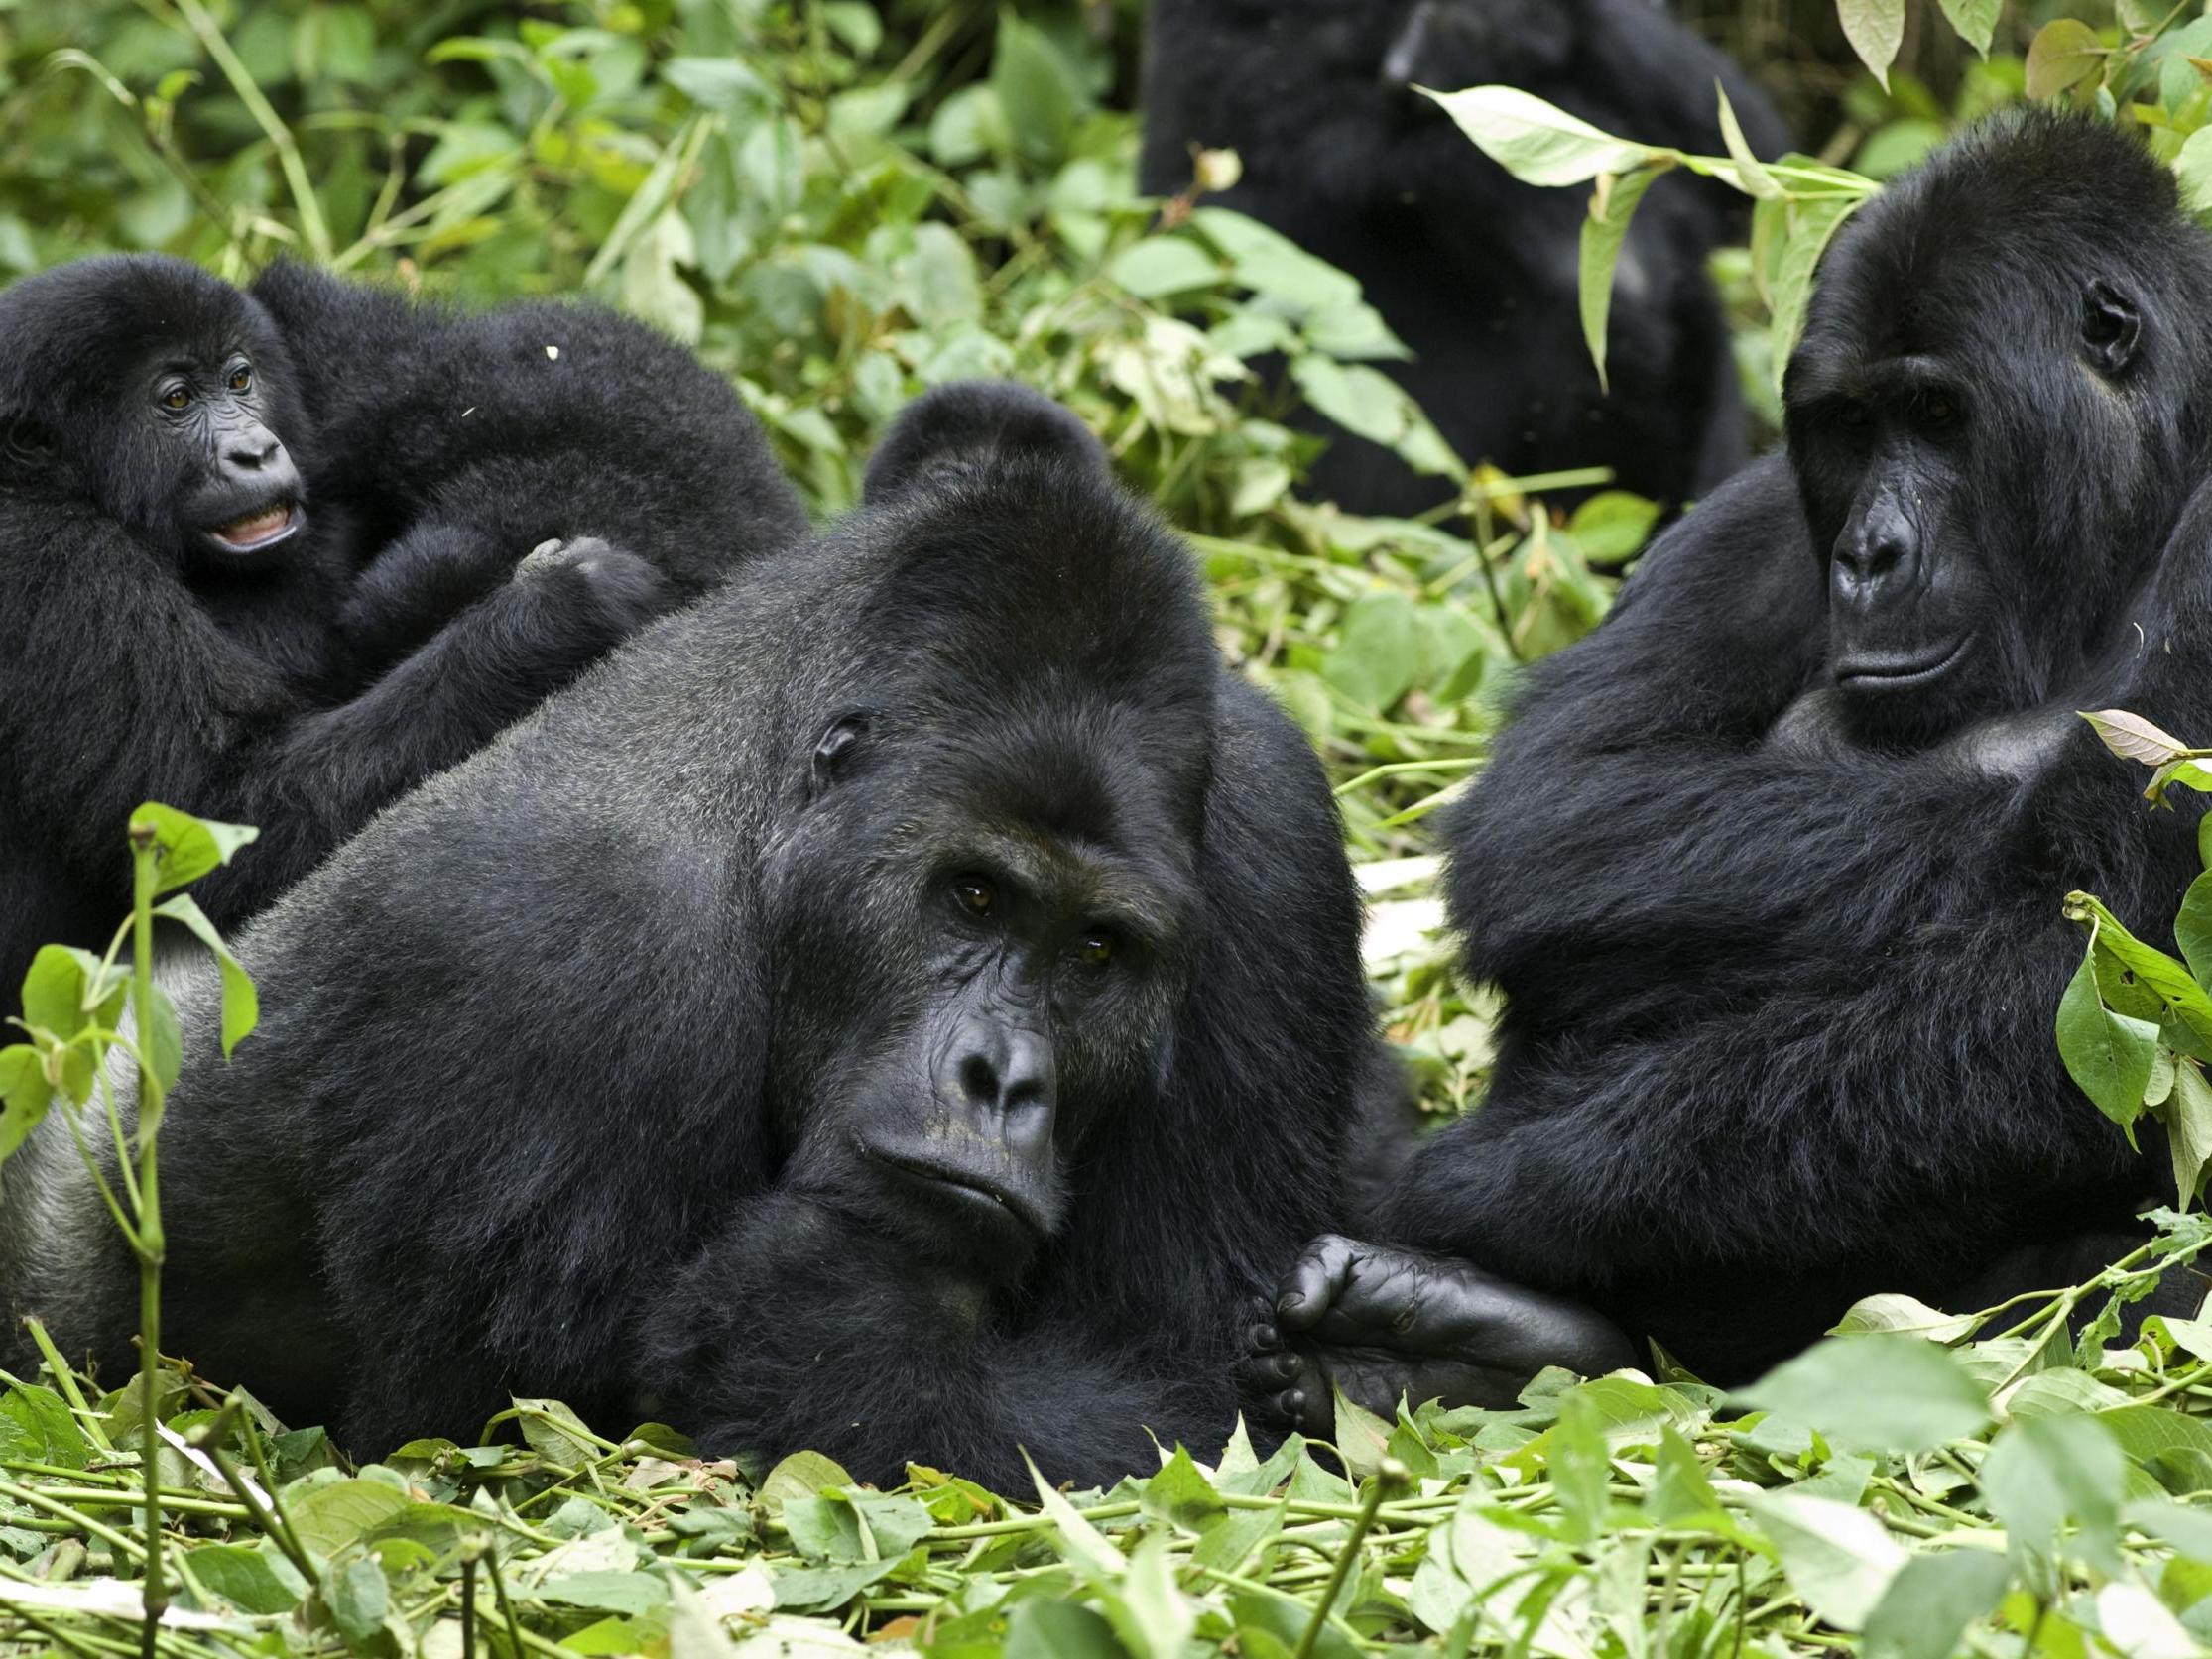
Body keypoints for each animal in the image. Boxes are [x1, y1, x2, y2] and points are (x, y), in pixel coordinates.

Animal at [0, 253, 813, 995]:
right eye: (174, 399)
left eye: (239, 380)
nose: (255, 450)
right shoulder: (47, 561)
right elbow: (226, 819)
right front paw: (557, 611)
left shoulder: (321, 346)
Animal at [0, 380, 1380, 1494]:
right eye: (973, 899)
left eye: (1096, 953)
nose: (1004, 1080)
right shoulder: (552, 947)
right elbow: (492, 1441)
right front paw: (830, 1319)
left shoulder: (1273, 836)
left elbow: (1189, 1361)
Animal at [1247, 110, 2212, 1433]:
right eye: (1852, 427)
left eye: (1938, 415)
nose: (1868, 552)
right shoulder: (1760, 504)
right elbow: (1565, 809)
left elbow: (2075, 985)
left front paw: (1495, 1184)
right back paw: (1475, 1346)